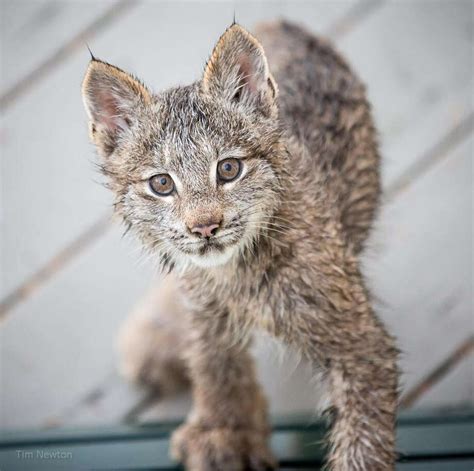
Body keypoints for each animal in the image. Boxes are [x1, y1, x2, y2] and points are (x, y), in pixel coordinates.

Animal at [82, 20, 400, 470]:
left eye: (229, 169)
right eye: (161, 184)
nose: (204, 228)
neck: (235, 272)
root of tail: (285, 23)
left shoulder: (360, 344)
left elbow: (363, 443)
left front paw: (228, 433)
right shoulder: (205, 307)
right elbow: (214, 363)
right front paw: (225, 431)